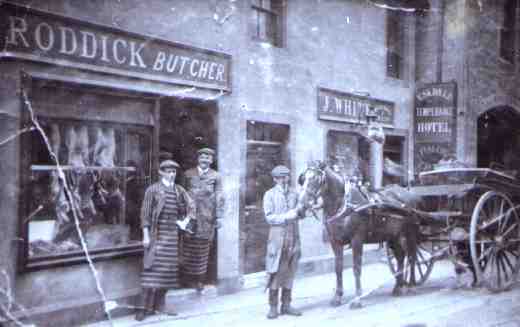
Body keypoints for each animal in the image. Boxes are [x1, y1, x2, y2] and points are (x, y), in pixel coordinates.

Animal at [298, 164, 420, 310]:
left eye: (317, 179)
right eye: (303, 179)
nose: (300, 206)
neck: (344, 205)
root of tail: (409, 192)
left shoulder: (357, 240)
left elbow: (356, 268)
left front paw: (357, 299)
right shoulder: (335, 242)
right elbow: (338, 268)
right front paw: (337, 297)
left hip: (410, 233)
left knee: (412, 256)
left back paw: (411, 285)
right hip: (393, 236)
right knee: (401, 257)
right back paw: (398, 286)